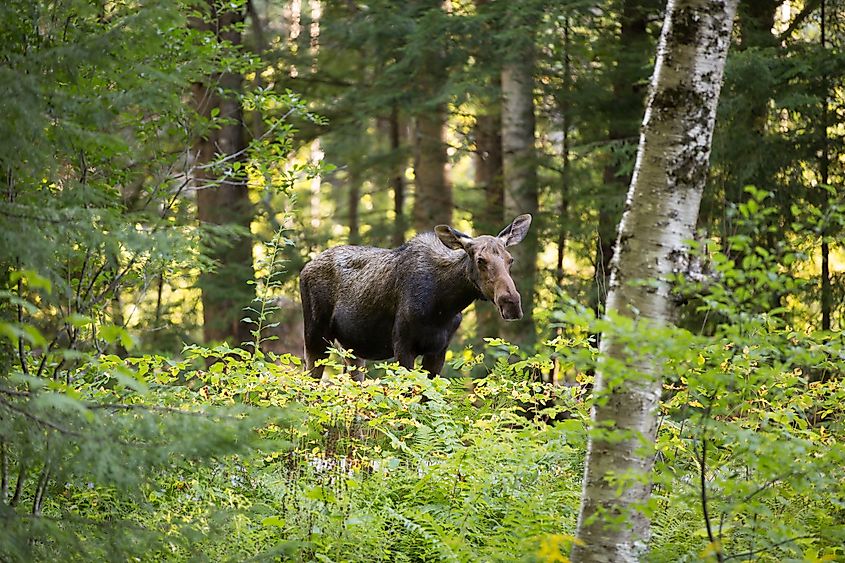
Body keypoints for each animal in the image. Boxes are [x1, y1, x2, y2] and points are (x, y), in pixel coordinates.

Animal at [300, 214, 532, 382]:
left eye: (510, 259)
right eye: (481, 260)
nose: (511, 302)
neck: (444, 304)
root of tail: (304, 269)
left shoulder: (439, 350)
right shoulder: (402, 345)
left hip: (351, 349)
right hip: (315, 336)